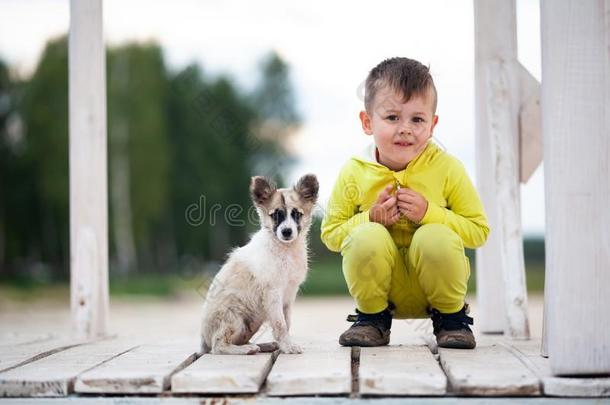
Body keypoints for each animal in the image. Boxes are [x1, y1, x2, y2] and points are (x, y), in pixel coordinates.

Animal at [202, 174, 320, 354]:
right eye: (275, 215)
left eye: (296, 214)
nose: (286, 232)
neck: (285, 250)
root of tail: (203, 343)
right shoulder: (273, 294)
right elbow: (280, 325)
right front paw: (288, 347)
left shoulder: (289, 295)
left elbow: (287, 323)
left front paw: (283, 346)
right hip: (234, 317)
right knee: (218, 345)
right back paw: (246, 350)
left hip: (251, 323)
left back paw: (264, 346)